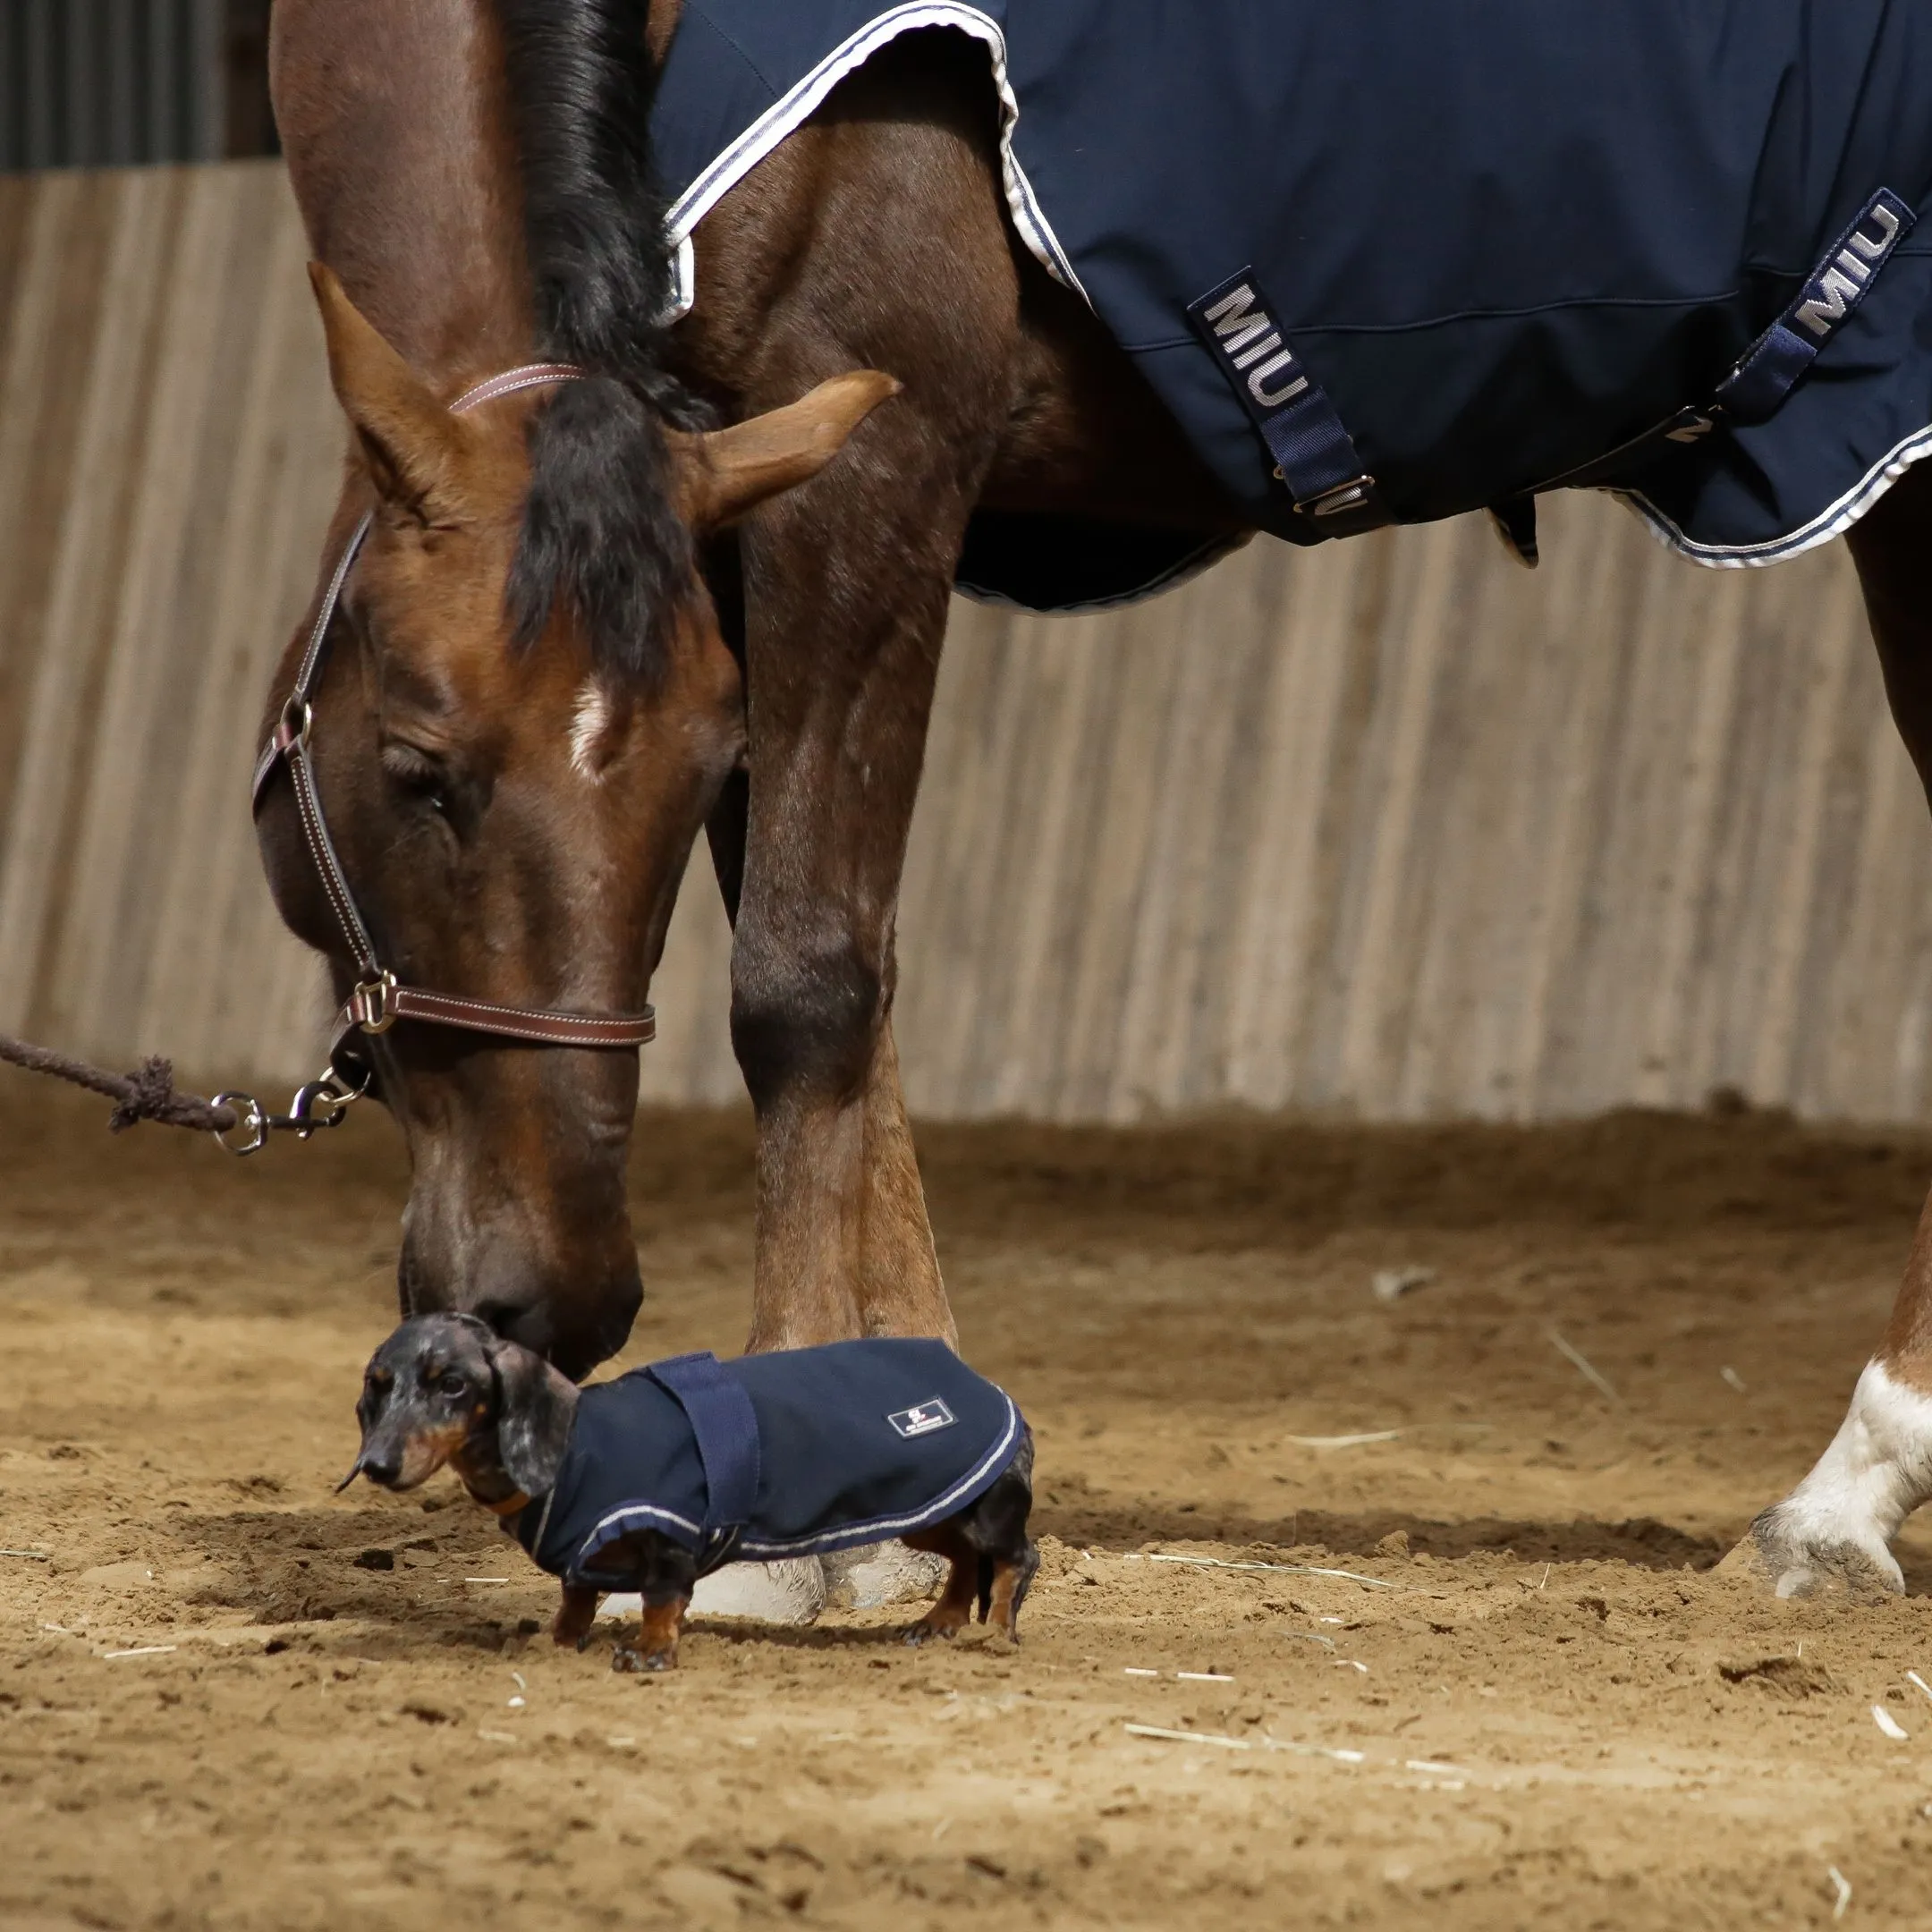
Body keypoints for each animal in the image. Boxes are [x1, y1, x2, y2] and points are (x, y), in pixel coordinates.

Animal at [264, 0, 1932, 1599]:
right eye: (419, 772)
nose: (553, 1295)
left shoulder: (866, 452)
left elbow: (805, 987)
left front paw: (804, 1542)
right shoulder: (737, 498)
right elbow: (851, 1000)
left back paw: (1844, 1492)